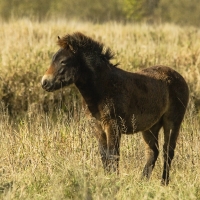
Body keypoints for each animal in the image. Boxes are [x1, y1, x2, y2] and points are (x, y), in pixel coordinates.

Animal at [41, 32, 189, 185]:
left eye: (63, 61)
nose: (44, 82)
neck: (102, 88)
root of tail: (179, 77)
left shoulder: (113, 125)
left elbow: (113, 154)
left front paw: (114, 180)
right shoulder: (97, 126)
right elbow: (104, 155)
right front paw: (108, 178)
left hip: (172, 122)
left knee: (168, 151)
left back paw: (163, 182)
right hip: (150, 127)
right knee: (153, 152)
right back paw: (142, 181)